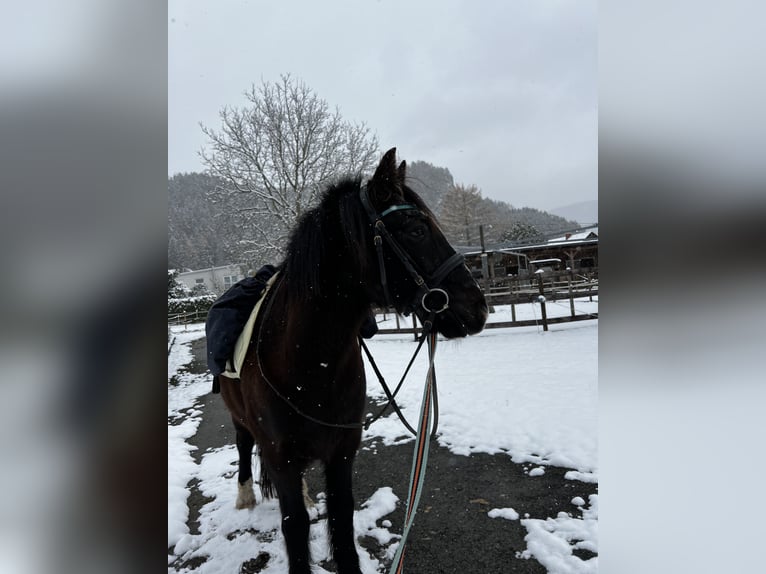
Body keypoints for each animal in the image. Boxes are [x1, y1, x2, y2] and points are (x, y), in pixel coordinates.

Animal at [219, 150, 488, 574]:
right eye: (416, 229)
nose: (478, 307)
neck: (309, 364)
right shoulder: (281, 457)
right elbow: (295, 530)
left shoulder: (342, 451)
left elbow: (342, 523)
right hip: (241, 420)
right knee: (244, 445)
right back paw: (245, 496)